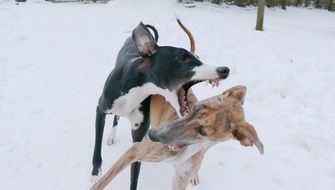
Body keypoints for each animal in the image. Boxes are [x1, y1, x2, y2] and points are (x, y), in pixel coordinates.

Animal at [92, 20, 231, 189]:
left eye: (198, 57)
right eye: (182, 56)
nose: (224, 70)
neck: (137, 89)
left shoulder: (138, 138)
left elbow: (134, 175)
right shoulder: (100, 110)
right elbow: (97, 148)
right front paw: (95, 174)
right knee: (116, 118)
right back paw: (112, 136)